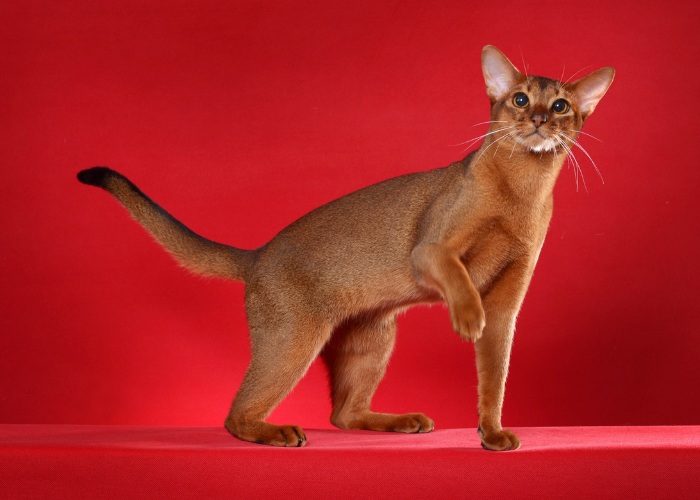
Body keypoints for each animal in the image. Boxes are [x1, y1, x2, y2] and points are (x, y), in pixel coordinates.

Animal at [75, 47, 612, 452]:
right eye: (520, 99)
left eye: (560, 106)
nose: (539, 119)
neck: (521, 189)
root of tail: (259, 252)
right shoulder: (430, 250)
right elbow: (458, 278)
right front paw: (465, 318)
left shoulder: (507, 304)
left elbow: (493, 379)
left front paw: (492, 433)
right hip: (292, 340)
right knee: (236, 414)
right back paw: (277, 432)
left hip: (371, 339)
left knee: (343, 413)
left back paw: (399, 421)